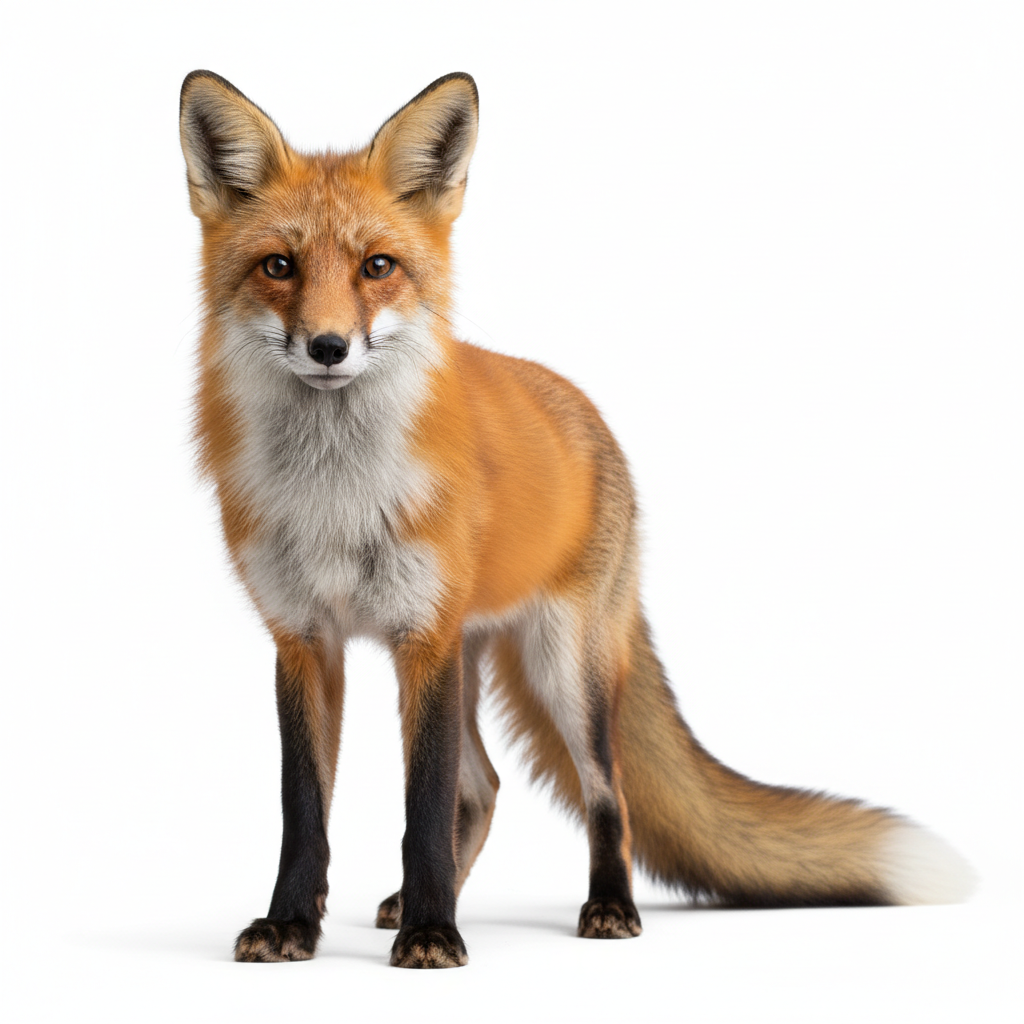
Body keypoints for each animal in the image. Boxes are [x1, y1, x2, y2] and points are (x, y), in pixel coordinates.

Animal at [178, 69, 974, 969]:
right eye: (278, 266)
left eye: (377, 266)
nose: (327, 347)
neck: (337, 499)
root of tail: (585, 410)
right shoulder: (305, 640)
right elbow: (304, 812)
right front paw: (292, 923)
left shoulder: (424, 636)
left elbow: (422, 810)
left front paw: (431, 934)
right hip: (478, 657)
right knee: (484, 789)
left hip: (564, 665)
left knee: (605, 791)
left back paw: (606, 905)